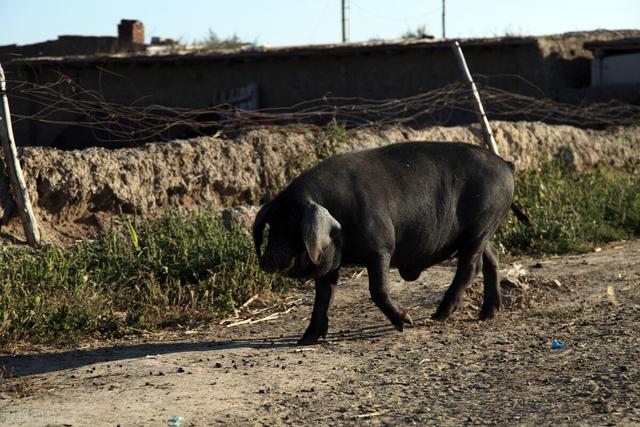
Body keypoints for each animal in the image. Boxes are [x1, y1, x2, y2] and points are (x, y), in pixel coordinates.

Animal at [252, 142, 528, 346]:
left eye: (293, 225)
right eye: (272, 224)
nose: (267, 260)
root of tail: (506, 164)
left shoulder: (381, 247)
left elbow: (377, 289)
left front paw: (406, 323)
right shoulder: (332, 263)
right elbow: (323, 297)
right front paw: (306, 339)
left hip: (481, 225)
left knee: (470, 268)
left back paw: (438, 316)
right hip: (480, 233)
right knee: (492, 256)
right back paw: (487, 314)